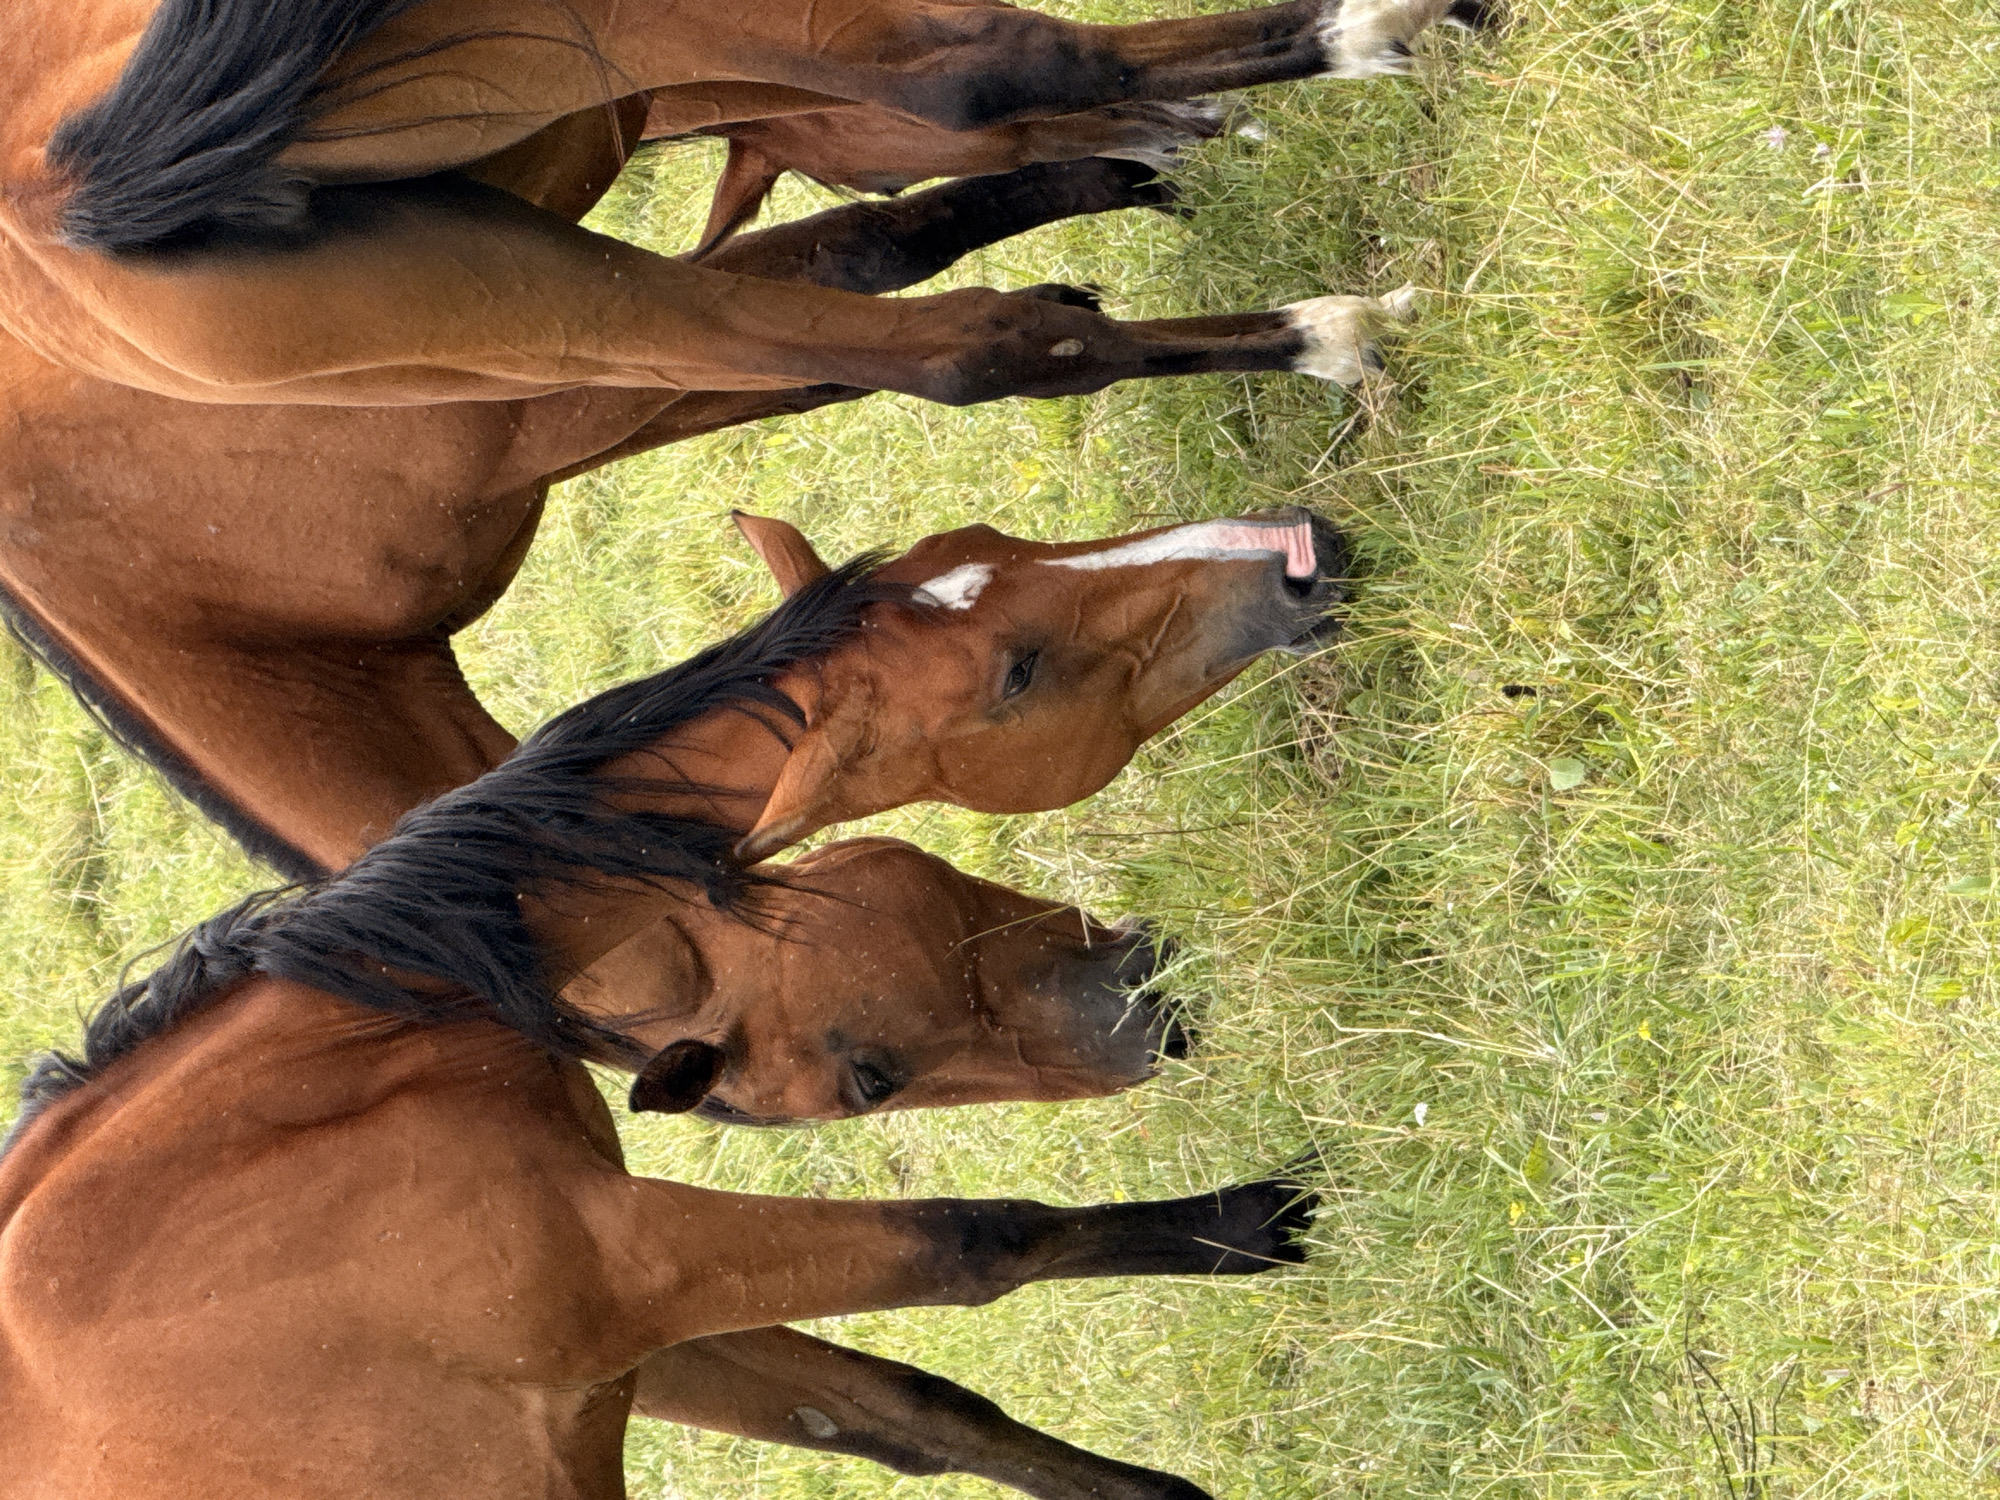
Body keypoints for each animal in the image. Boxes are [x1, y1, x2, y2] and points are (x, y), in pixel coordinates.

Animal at [0, 560, 1322, 1499]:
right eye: (869, 1079)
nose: (1147, 1000)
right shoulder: (627, 1260)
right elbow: (972, 1243)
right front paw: (1267, 1215)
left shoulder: (618, 1339)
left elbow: (909, 1417)